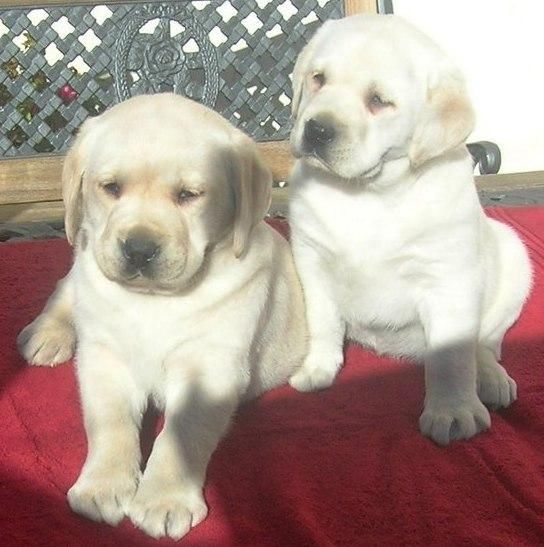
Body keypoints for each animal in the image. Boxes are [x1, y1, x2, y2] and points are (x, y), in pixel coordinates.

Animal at [18, 93, 306, 540]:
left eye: (189, 195)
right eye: (111, 188)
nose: (138, 249)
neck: (153, 301)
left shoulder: (209, 367)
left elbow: (182, 435)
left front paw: (164, 500)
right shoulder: (105, 358)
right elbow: (109, 423)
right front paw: (103, 485)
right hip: (84, 263)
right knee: (67, 287)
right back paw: (47, 334)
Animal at [288, 15, 532, 448]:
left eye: (379, 101)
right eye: (318, 79)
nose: (316, 130)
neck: (368, 192)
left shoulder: (447, 278)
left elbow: (452, 358)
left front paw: (453, 412)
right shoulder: (311, 259)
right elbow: (323, 320)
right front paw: (318, 368)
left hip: (514, 259)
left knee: (484, 345)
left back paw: (491, 378)